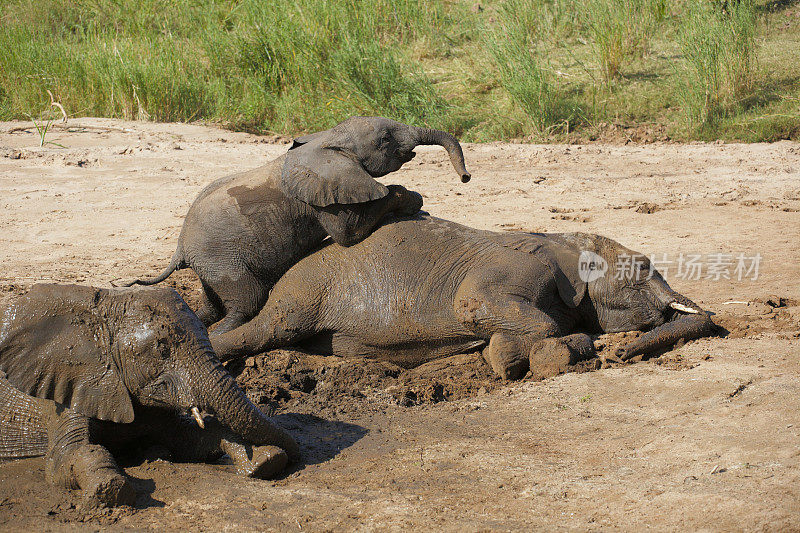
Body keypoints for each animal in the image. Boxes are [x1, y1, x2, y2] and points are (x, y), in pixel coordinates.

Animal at [0, 284, 300, 504]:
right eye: (162, 348)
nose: (297, 453)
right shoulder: (65, 388)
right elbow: (65, 459)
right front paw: (110, 489)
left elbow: (192, 438)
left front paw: (267, 460)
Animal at [116, 116, 472, 334]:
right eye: (385, 139)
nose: (466, 177)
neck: (327, 141)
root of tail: (179, 246)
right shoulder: (321, 196)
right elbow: (348, 235)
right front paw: (412, 199)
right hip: (221, 258)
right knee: (248, 300)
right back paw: (223, 331)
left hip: (209, 264)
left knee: (211, 303)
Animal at [209, 212, 716, 378]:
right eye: (644, 267)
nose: (623, 355)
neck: (568, 242)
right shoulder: (521, 266)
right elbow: (473, 304)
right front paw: (507, 359)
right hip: (305, 292)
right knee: (269, 330)